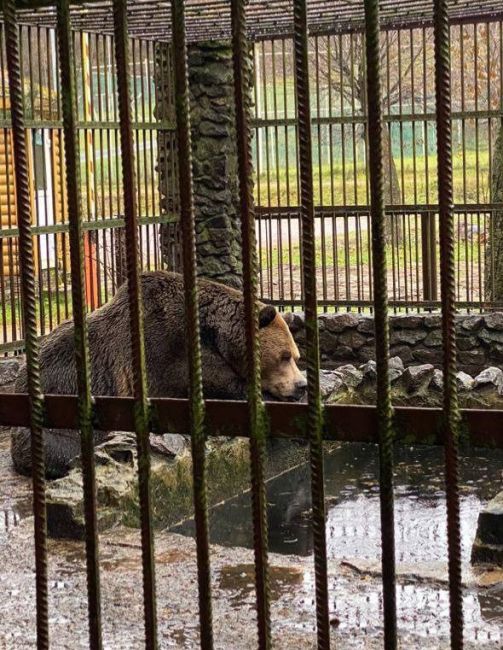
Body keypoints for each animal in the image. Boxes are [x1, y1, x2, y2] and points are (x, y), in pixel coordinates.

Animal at [11, 268, 306, 476]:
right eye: (284, 356)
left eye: (295, 356)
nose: (300, 385)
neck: (212, 334)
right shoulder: (165, 353)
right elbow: (220, 386)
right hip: (59, 420)